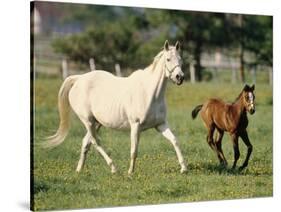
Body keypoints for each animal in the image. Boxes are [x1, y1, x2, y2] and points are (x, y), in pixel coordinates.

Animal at [44, 40, 187, 174]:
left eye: (180, 59)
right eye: (168, 59)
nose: (180, 77)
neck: (149, 93)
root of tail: (79, 79)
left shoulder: (160, 125)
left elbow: (175, 141)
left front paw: (184, 168)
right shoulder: (135, 126)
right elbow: (134, 150)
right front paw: (130, 172)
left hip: (97, 123)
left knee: (86, 142)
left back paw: (79, 170)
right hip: (88, 121)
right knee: (96, 142)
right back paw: (113, 168)